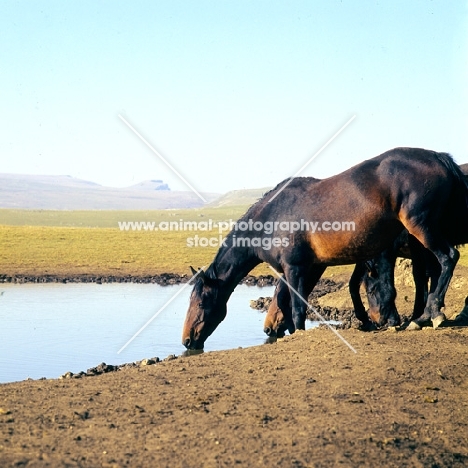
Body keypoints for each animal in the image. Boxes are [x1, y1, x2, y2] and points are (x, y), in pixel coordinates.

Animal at [183, 148, 468, 350]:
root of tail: (439, 157)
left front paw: (297, 332)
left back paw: (429, 315)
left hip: (422, 228)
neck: (270, 219)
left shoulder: (296, 268)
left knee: (448, 259)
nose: (186, 340)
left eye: (200, 301)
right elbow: (288, 300)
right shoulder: (304, 269)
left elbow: (297, 305)